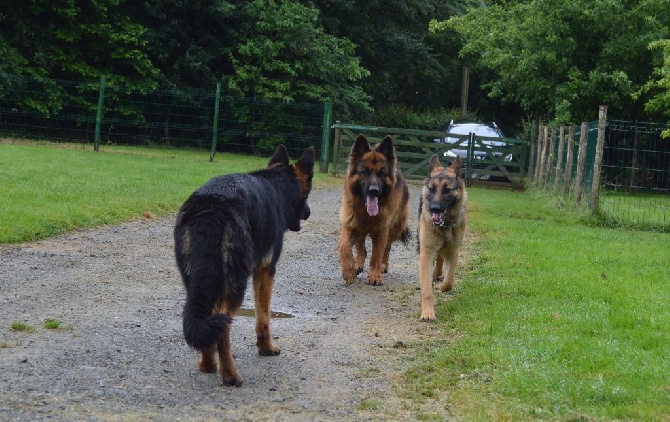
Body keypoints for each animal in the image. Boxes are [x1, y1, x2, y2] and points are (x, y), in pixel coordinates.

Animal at [173, 145, 316, 386]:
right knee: (224, 325)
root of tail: (211, 205)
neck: (277, 185)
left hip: (198, 281)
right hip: (235, 284)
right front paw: (266, 348)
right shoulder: (265, 271)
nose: (308, 213)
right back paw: (231, 375)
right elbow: (263, 317)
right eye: (306, 195)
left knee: (209, 319)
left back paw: (208, 365)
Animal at [338, 134, 412, 286]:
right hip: (358, 226)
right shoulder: (350, 224)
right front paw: (348, 271)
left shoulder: (382, 230)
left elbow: (377, 254)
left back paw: (383, 265)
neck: (366, 212)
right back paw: (358, 264)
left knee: (387, 248)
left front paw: (375, 276)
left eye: (381, 173)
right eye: (364, 171)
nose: (374, 190)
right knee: (361, 247)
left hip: (394, 228)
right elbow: (344, 246)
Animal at [418, 153, 470, 322]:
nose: (434, 208)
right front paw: (428, 312)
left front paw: (442, 286)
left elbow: (449, 281)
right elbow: (427, 289)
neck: (445, 226)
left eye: (447, 190)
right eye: (432, 189)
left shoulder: (453, 251)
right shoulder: (426, 253)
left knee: (441, 262)